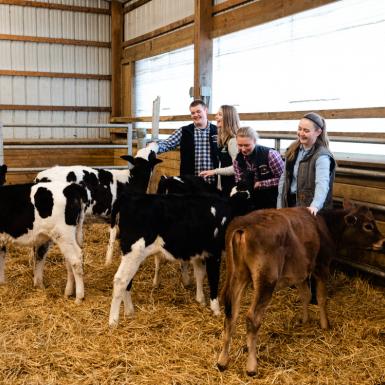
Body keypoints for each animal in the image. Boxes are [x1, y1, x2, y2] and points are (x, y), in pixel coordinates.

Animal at [108, 191, 231, 324]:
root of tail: (127, 197)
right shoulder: (214, 253)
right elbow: (213, 279)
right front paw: (216, 309)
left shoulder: (200, 254)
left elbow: (199, 274)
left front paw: (200, 300)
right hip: (134, 251)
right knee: (120, 280)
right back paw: (113, 321)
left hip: (130, 254)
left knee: (127, 280)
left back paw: (129, 311)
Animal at [218, 201, 382, 376]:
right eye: (368, 225)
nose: (383, 240)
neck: (326, 226)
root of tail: (244, 224)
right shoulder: (322, 266)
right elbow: (321, 298)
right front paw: (325, 325)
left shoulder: (300, 272)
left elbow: (306, 294)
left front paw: (304, 320)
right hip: (266, 279)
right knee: (252, 317)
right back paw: (251, 366)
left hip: (238, 275)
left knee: (231, 312)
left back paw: (222, 361)